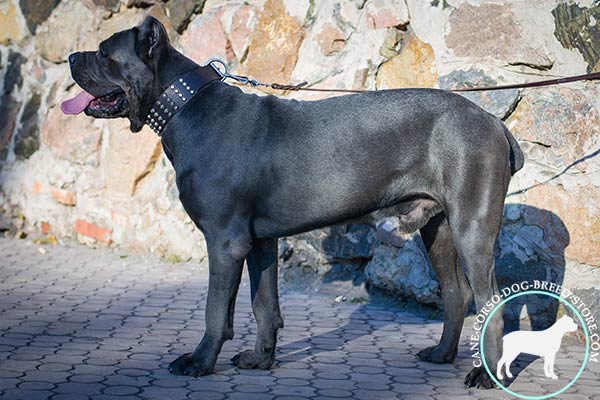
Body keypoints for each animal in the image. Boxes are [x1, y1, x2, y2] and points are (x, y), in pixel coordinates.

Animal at [63, 17, 524, 390]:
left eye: (103, 53)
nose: (69, 56)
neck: (185, 106)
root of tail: (494, 122)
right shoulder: (259, 242)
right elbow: (264, 305)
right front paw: (260, 359)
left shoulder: (225, 241)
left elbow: (217, 312)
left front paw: (199, 361)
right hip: (438, 227)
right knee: (455, 292)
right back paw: (442, 354)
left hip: (471, 228)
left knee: (491, 301)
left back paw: (487, 375)